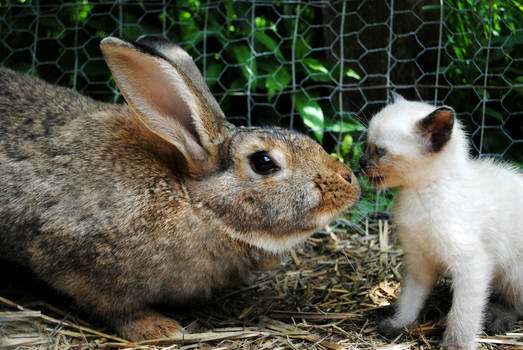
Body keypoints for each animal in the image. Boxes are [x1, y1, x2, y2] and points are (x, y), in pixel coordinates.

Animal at [0, 37, 360, 340]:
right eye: (263, 162)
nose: (349, 181)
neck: (191, 201)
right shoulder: (74, 257)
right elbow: (116, 307)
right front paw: (159, 329)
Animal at [362, 93, 520, 350]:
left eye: (380, 151)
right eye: (366, 145)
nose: (361, 163)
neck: (419, 194)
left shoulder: (472, 263)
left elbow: (462, 313)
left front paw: (456, 344)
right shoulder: (419, 261)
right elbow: (410, 297)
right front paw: (399, 324)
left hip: (514, 273)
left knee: (515, 303)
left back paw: (497, 317)